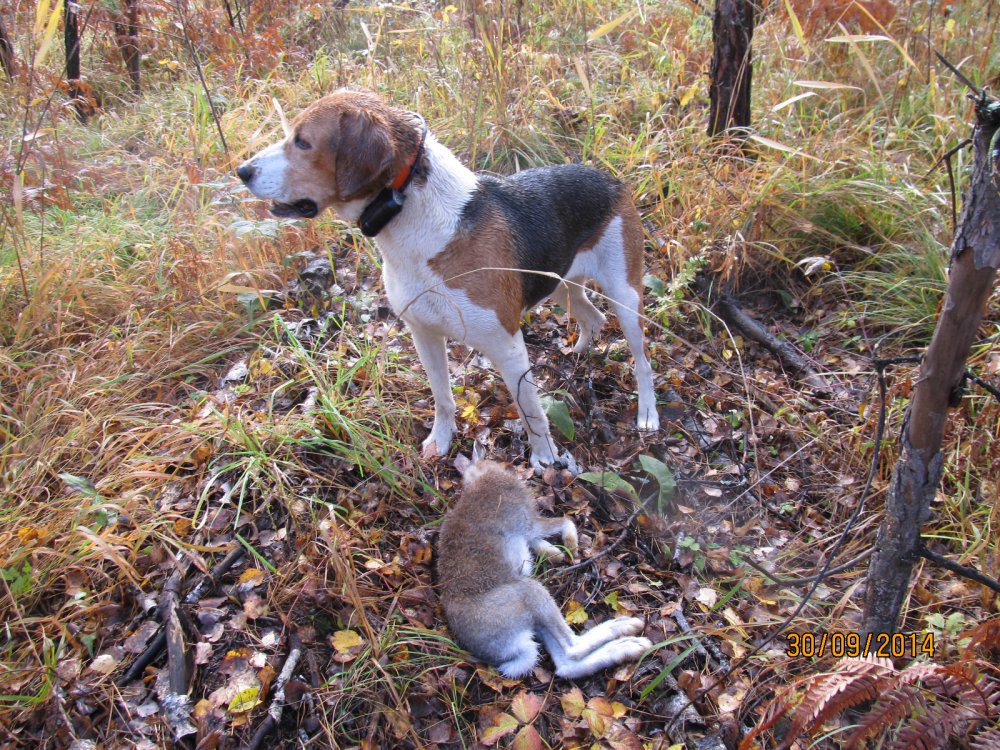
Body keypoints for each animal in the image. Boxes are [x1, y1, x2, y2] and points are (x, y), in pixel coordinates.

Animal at [234, 89, 656, 470]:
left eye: (303, 142)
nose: (242, 171)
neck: (409, 216)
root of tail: (609, 179)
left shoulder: (508, 347)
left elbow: (531, 410)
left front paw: (545, 458)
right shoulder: (424, 333)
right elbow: (442, 396)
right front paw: (441, 441)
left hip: (625, 297)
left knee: (642, 359)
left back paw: (648, 413)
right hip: (560, 287)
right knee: (592, 317)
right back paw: (580, 351)